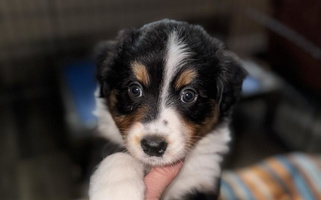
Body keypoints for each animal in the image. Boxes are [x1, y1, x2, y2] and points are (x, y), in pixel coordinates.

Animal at [87, 19, 245, 200]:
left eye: (188, 95)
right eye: (134, 89)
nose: (153, 146)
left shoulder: (202, 180)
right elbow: (117, 154)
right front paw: (117, 189)